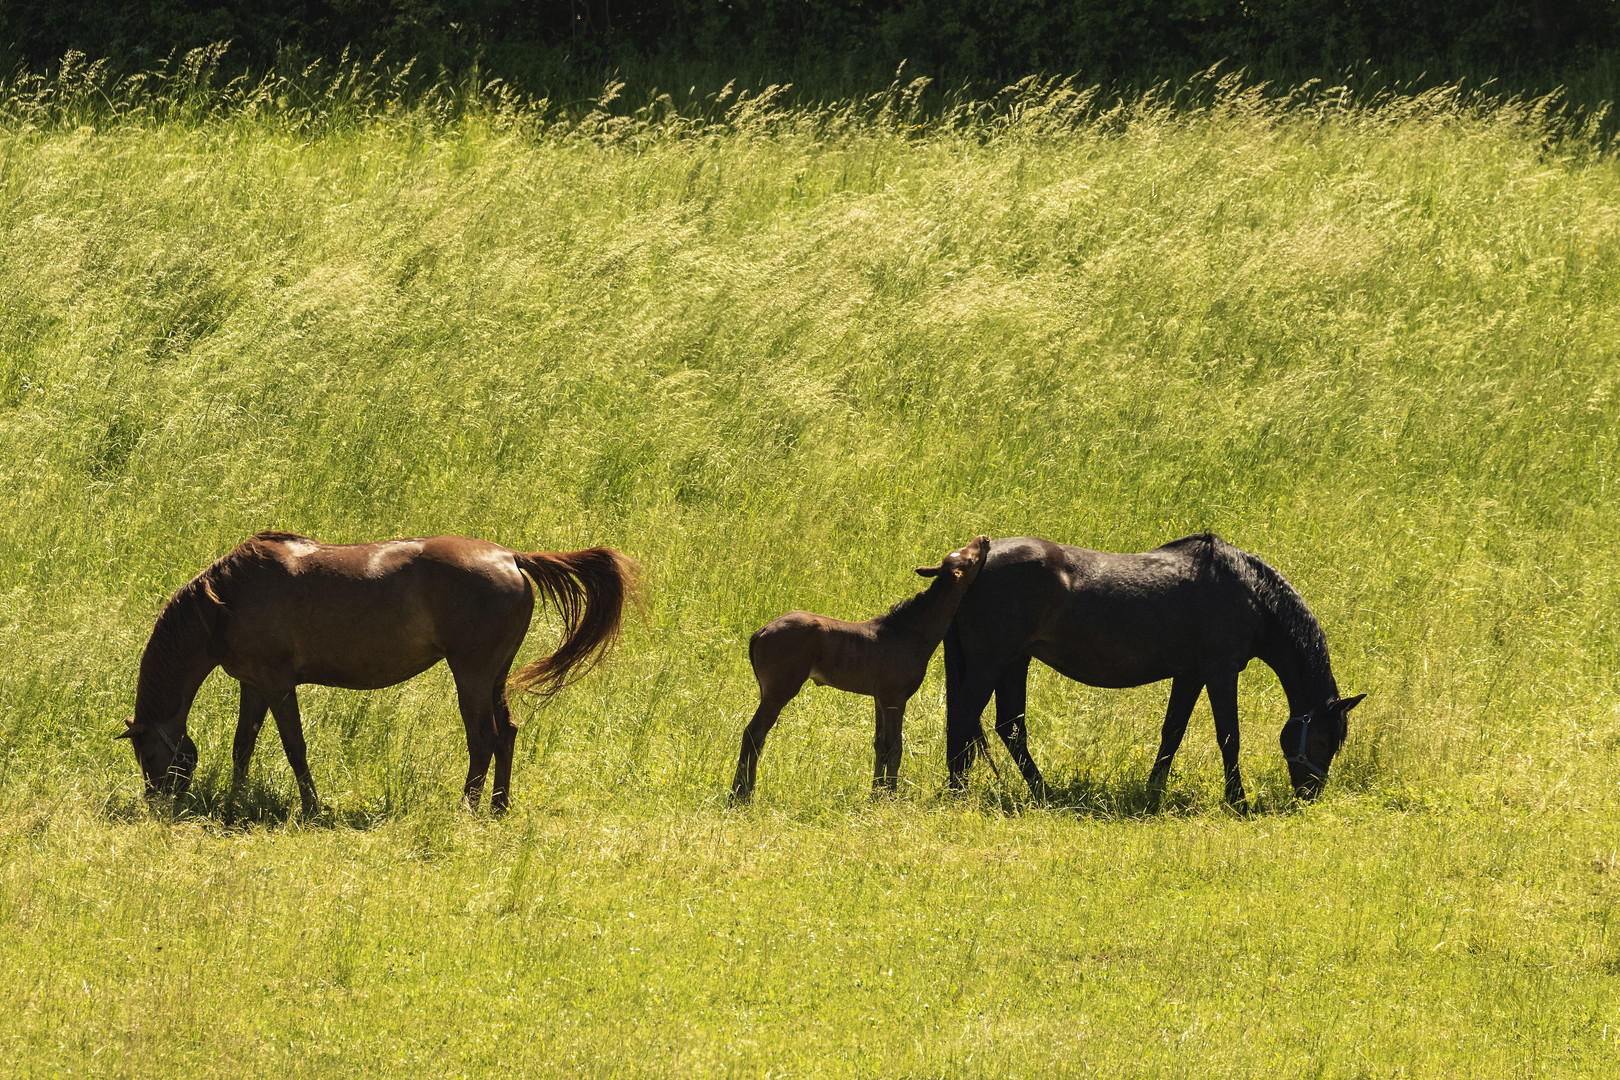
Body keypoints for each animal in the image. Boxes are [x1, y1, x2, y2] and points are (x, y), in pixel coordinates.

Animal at [118, 527, 638, 816]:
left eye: (148, 754)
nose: (158, 805)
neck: (226, 600)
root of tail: (511, 557)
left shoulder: (278, 685)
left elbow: (294, 747)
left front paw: (312, 807)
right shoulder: (254, 685)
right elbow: (242, 746)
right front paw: (235, 801)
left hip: (470, 675)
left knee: (483, 739)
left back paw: (467, 809)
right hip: (494, 677)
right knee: (507, 732)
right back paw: (497, 806)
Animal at [732, 537, 984, 803]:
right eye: (971, 559)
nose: (985, 539)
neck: (911, 633)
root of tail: (760, 632)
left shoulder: (879, 698)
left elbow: (880, 743)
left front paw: (876, 792)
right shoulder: (895, 697)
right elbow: (895, 745)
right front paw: (890, 794)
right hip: (780, 690)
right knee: (754, 733)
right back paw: (742, 795)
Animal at [946, 537, 1360, 806]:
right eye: (1324, 740)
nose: (1310, 796)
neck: (1247, 591)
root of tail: (975, 563)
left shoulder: (1191, 675)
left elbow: (1172, 734)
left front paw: (1153, 795)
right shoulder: (1221, 672)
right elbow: (1229, 737)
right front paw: (1237, 802)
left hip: (1014, 662)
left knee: (1009, 728)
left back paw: (1043, 794)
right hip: (991, 662)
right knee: (964, 719)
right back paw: (956, 791)